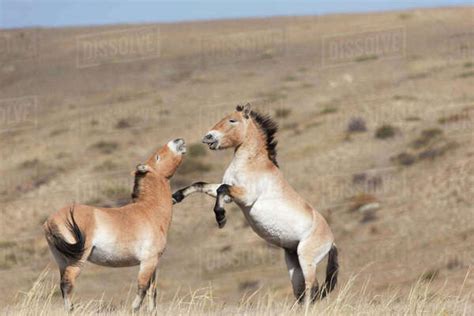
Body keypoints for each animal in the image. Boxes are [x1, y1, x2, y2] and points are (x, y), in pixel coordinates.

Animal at [42, 138, 186, 312]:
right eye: (158, 156)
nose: (178, 141)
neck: (149, 210)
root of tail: (50, 221)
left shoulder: (154, 263)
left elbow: (152, 291)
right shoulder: (148, 261)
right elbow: (142, 288)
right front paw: (133, 309)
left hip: (62, 261)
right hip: (77, 259)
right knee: (67, 283)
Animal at [172, 104, 338, 304]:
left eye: (232, 120)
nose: (208, 137)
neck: (252, 163)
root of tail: (331, 241)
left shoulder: (245, 196)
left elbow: (222, 189)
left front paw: (221, 218)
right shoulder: (230, 195)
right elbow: (202, 185)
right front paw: (176, 196)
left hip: (307, 261)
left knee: (311, 290)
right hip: (293, 262)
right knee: (301, 292)